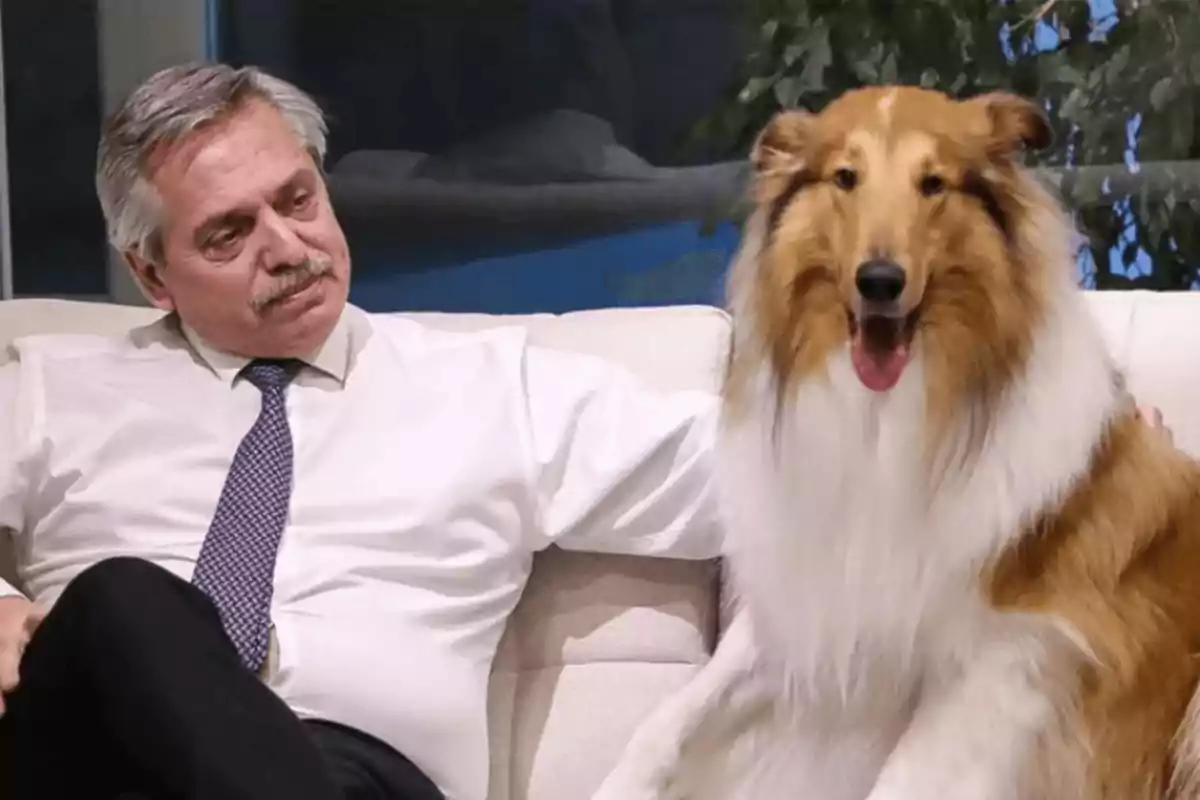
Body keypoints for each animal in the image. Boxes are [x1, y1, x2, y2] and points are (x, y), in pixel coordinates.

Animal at [595, 84, 1200, 796]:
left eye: (932, 183)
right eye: (845, 177)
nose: (879, 281)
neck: (885, 421)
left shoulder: (1005, 663)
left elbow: (901, 781)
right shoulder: (812, 605)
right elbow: (670, 719)